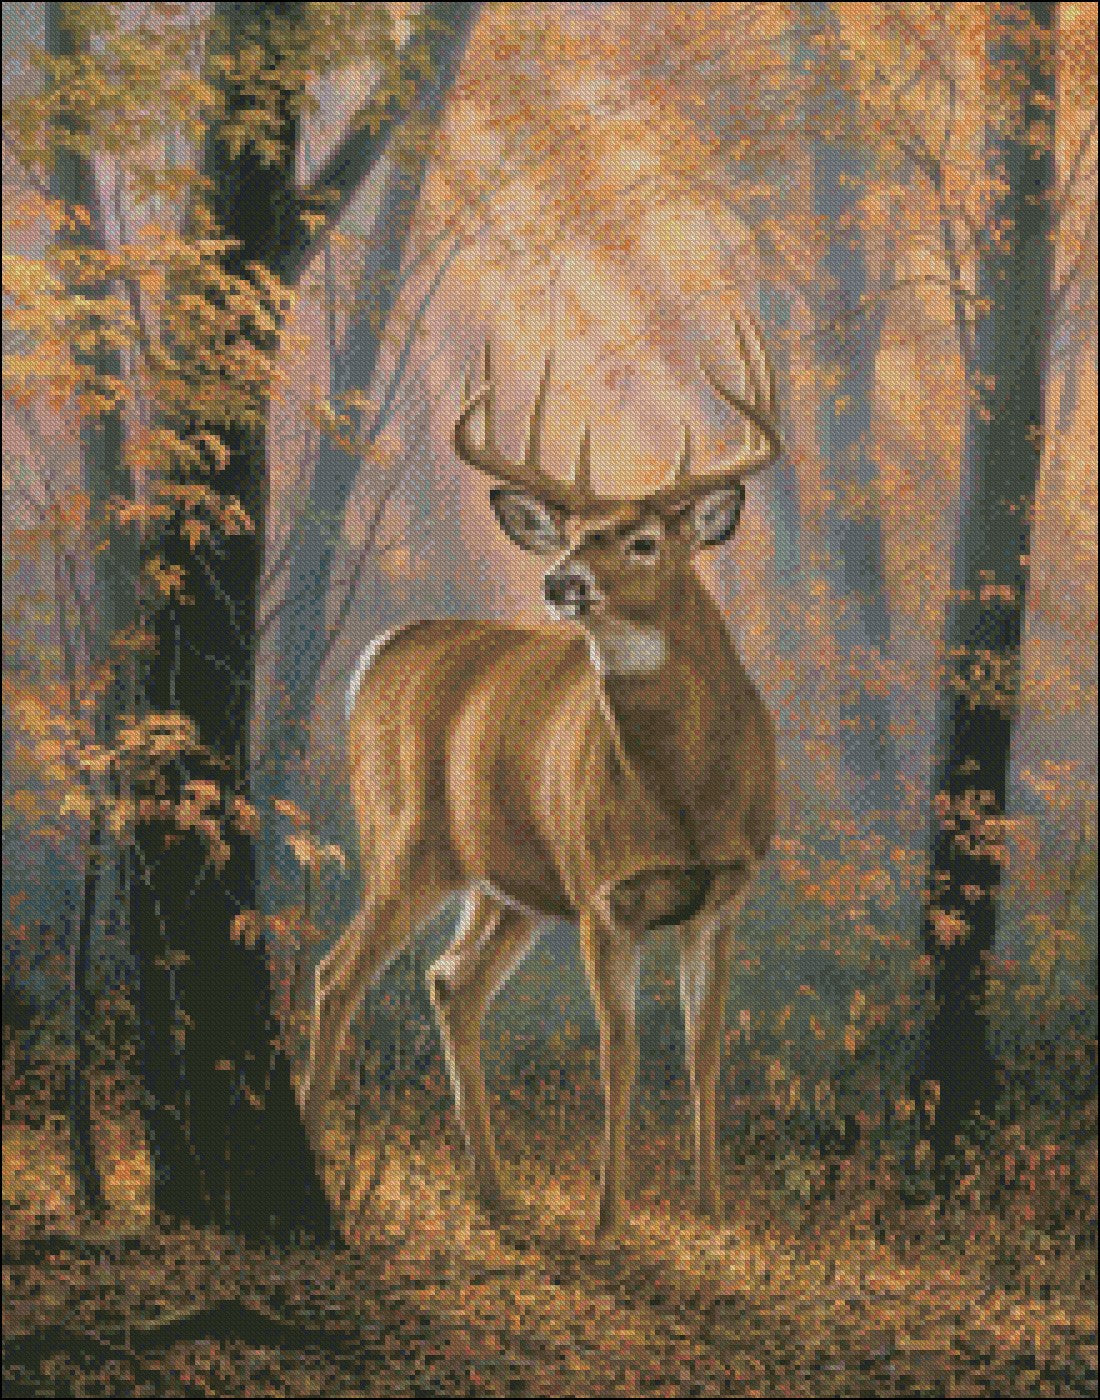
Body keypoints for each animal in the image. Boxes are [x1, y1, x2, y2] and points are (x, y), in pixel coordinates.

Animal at [301, 317, 781, 1239]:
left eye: (644, 540)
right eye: (568, 534)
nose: (562, 581)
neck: (684, 793)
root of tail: (378, 654)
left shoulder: (726, 894)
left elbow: (702, 1051)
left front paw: (710, 1209)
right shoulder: (601, 892)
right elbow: (620, 1052)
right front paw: (608, 1217)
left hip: (507, 884)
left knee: (451, 983)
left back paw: (494, 1194)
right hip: (406, 840)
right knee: (338, 972)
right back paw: (309, 1157)